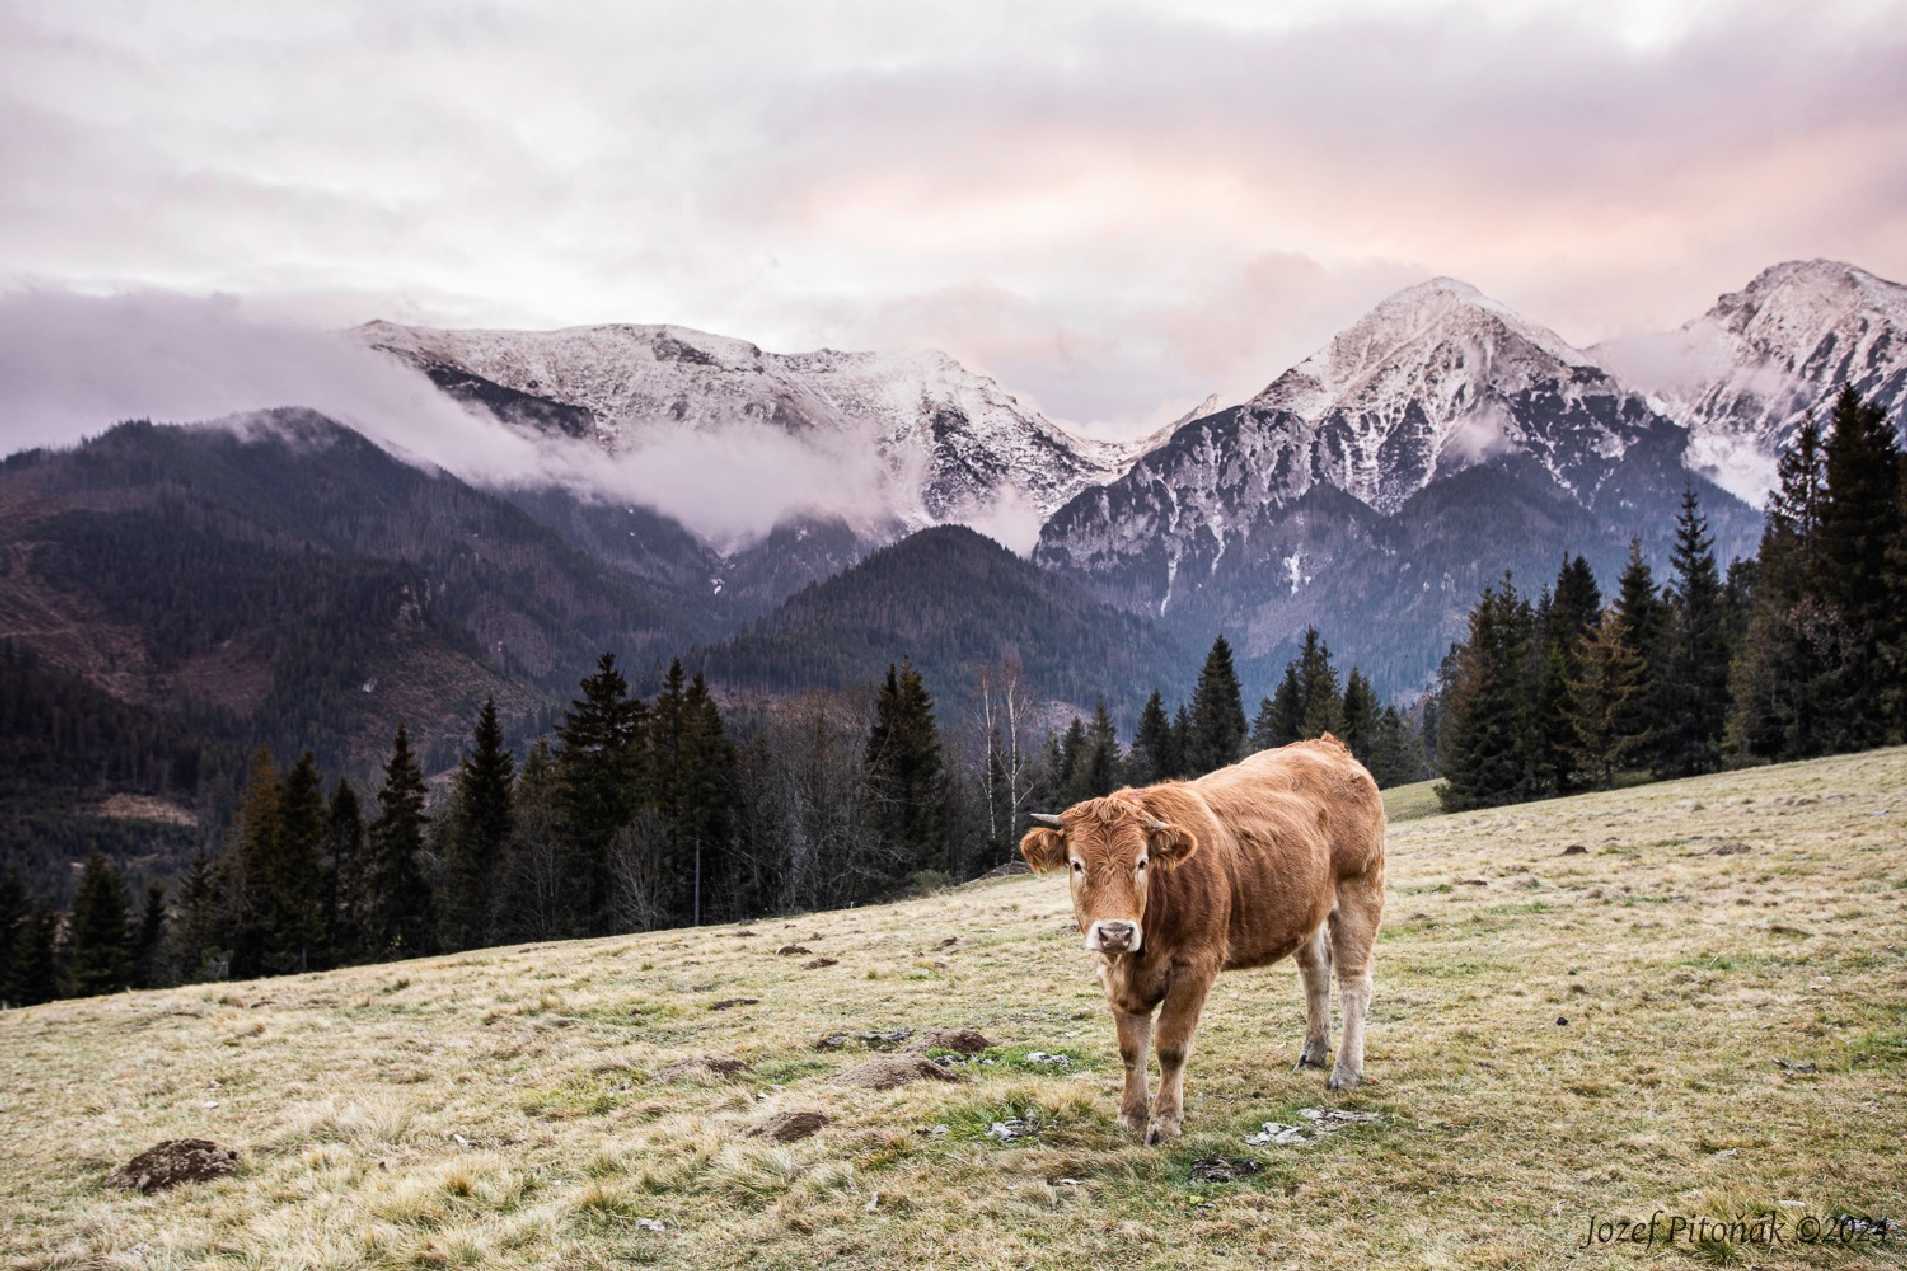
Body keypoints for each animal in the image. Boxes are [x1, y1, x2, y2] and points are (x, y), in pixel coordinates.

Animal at [1014, 732, 1388, 1137]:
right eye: (1077, 864)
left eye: (1142, 862)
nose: (1115, 932)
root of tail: (1326, 745)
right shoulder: (1115, 976)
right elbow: (1131, 1049)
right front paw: (1131, 1115)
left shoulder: (1196, 965)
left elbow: (1171, 1045)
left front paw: (1165, 1120)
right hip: (1308, 908)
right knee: (1316, 970)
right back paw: (1314, 1052)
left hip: (1360, 887)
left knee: (1354, 981)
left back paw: (1346, 1071)